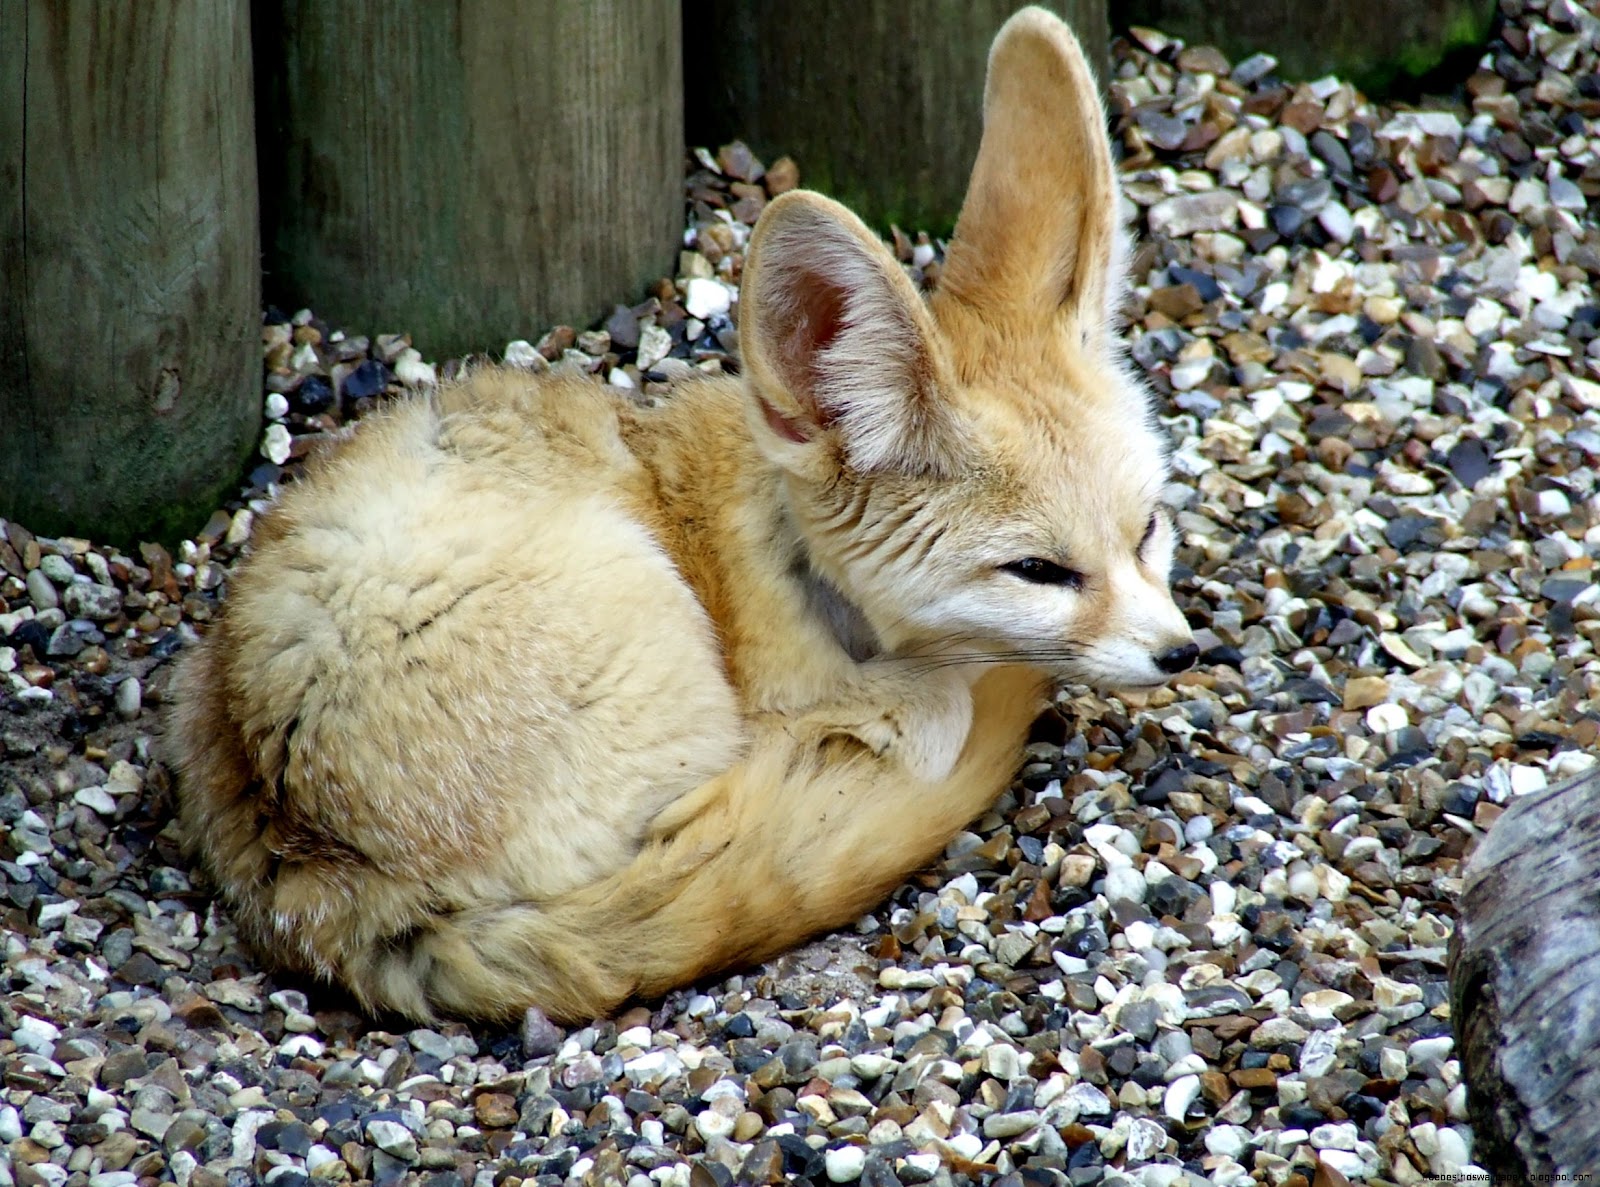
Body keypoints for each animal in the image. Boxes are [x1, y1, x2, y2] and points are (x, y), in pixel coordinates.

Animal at [167, 6, 1197, 1025]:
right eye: (1039, 572)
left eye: (1148, 529)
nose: (1183, 654)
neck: (792, 567)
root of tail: (314, 871)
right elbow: (925, 710)